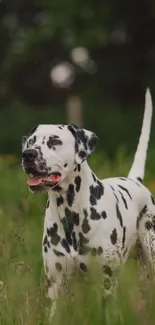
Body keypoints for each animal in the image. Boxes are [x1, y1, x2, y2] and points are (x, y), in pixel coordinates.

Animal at [21, 88, 155, 318]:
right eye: (31, 141)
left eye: (55, 141)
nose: (27, 154)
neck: (71, 212)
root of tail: (134, 180)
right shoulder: (56, 286)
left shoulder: (107, 281)